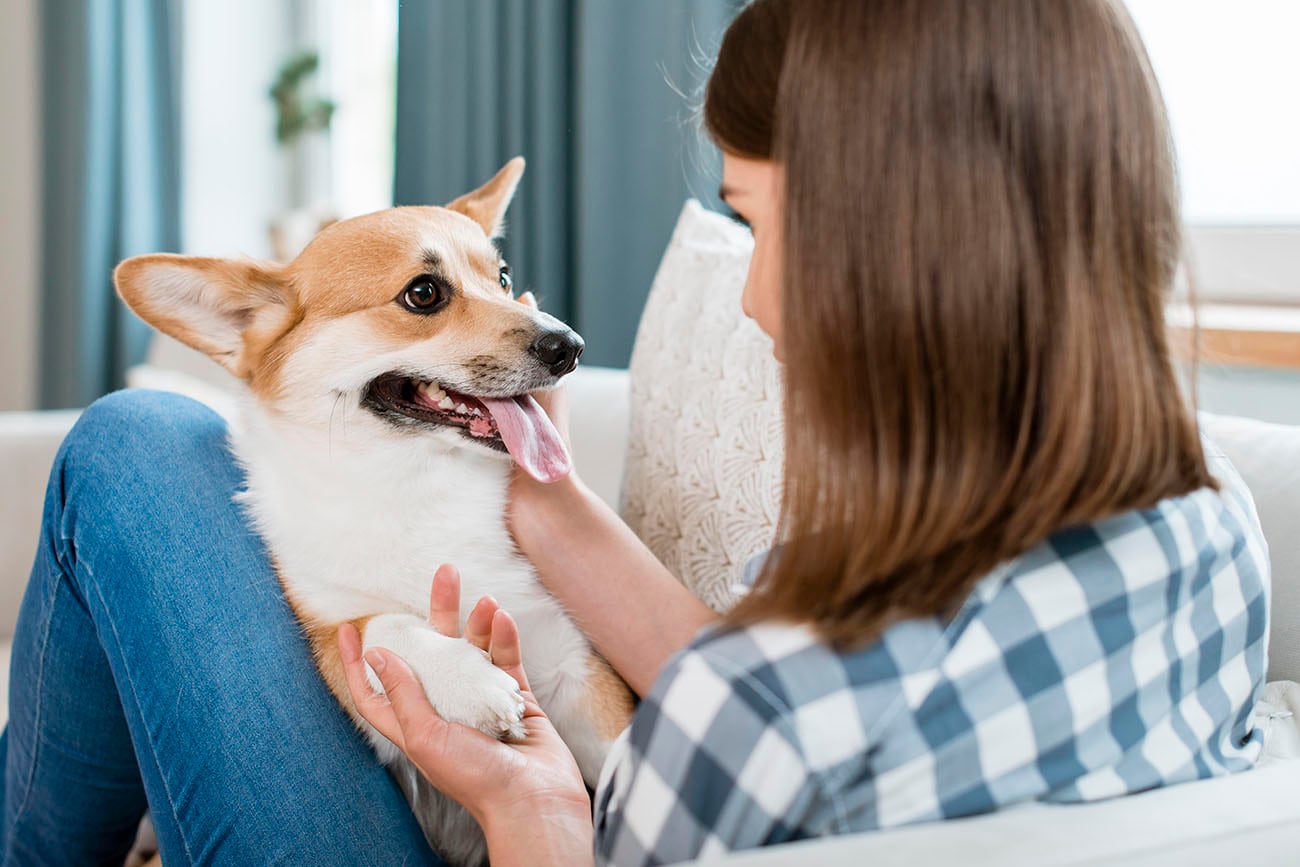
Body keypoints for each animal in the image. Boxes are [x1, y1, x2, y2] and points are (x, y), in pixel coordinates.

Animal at [116, 159, 634, 863]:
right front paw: (467, 679)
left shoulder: (572, 668)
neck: (415, 482)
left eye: (501, 280)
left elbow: (627, 756)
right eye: (424, 294)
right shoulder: (334, 644)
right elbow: (380, 625)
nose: (570, 347)